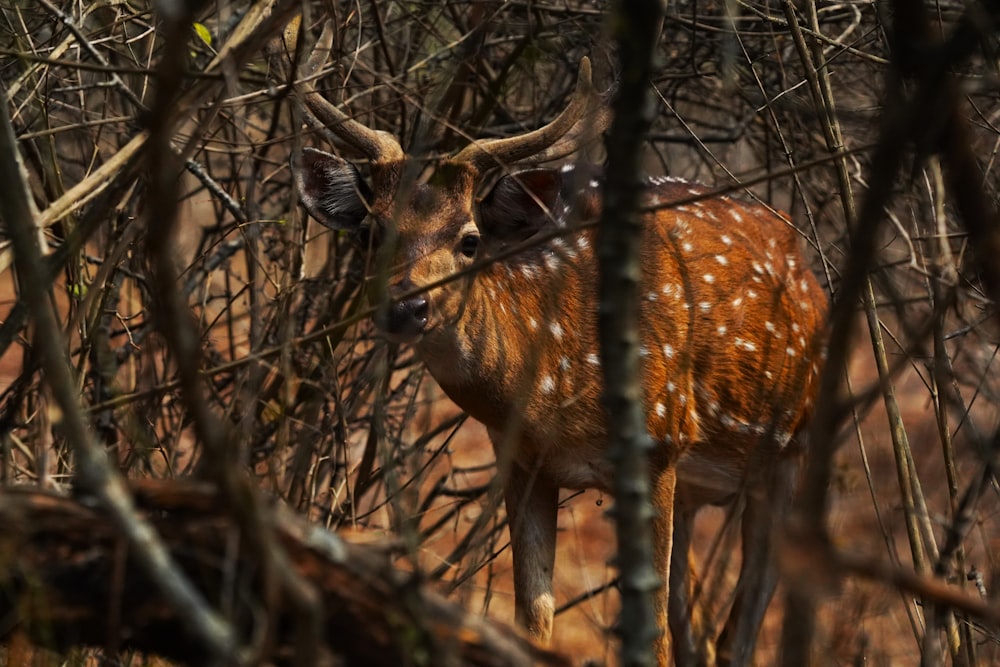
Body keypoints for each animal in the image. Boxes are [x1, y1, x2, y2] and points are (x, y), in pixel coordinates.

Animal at [290, 43, 828, 667]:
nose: (406, 307)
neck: (557, 386)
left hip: (791, 451)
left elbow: (653, 636)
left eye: (470, 239)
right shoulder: (524, 462)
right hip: (699, 485)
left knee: (739, 627)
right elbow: (534, 619)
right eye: (370, 233)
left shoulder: (658, 442)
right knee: (700, 629)